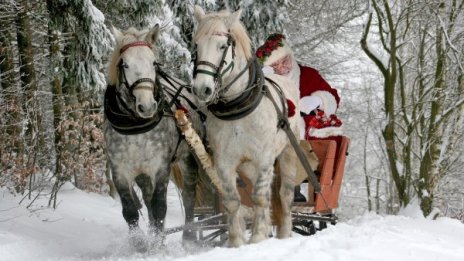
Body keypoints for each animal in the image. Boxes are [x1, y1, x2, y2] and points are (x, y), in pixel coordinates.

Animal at [192, 6, 300, 246]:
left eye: (223, 46)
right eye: (196, 46)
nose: (202, 89)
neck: (237, 107)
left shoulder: (264, 158)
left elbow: (259, 198)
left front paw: (258, 237)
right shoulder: (224, 162)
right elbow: (233, 201)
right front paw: (236, 242)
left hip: (288, 155)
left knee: (284, 196)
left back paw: (284, 233)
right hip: (248, 167)